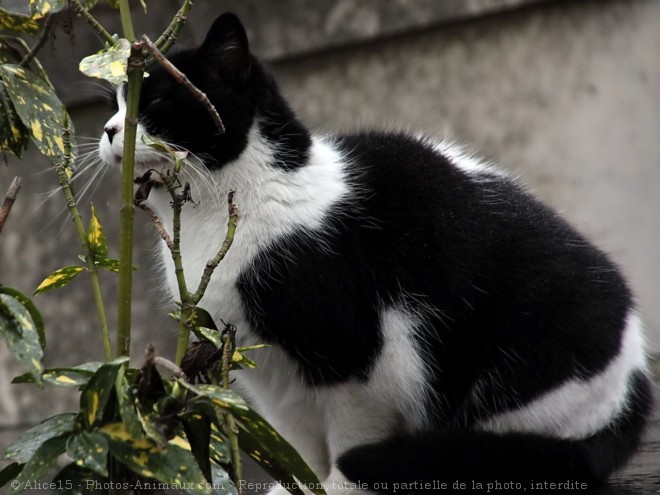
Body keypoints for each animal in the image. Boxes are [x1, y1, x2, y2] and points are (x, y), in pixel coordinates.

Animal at [100, 13, 652, 494]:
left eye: (155, 103)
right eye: (117, 103)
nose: (108, 130)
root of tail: (635, 375)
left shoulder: (360, 362)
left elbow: (350, 439)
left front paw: (340, 488)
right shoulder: (256, 360)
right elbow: (297, 444)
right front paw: (302, 485)